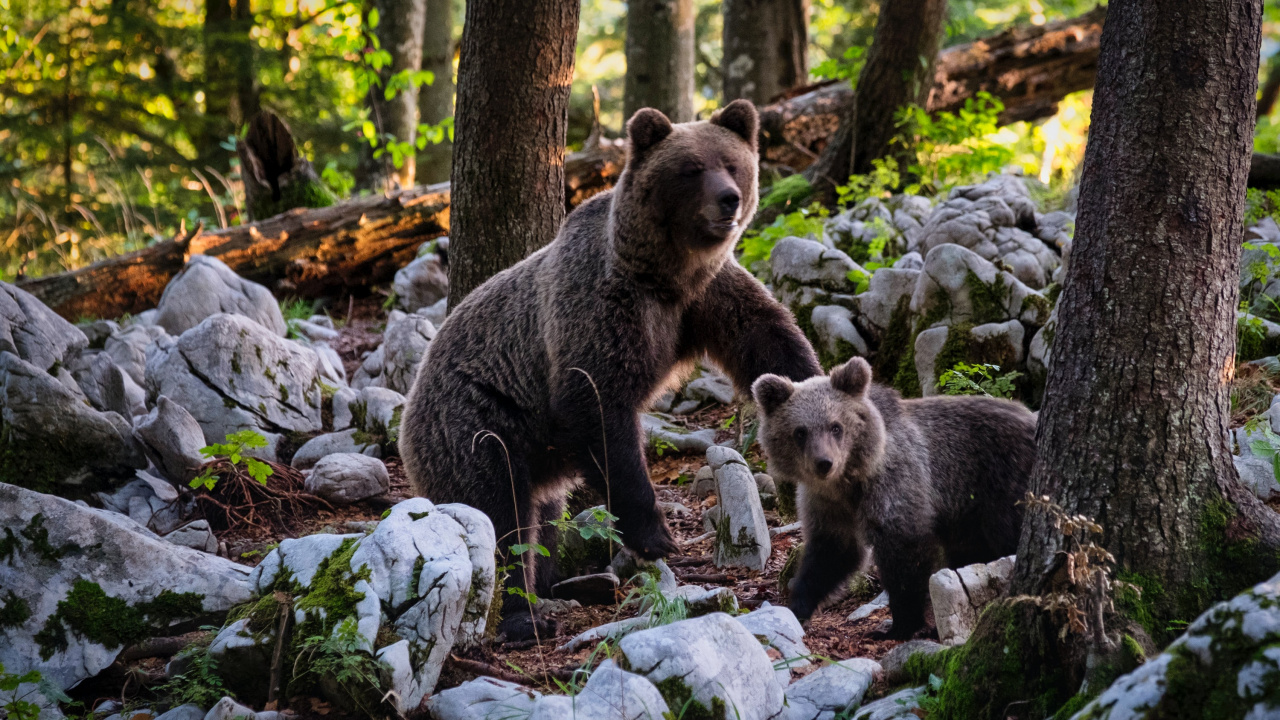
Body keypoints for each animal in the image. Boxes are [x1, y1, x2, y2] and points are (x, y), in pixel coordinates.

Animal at [400, 100, 822, 640]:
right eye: (691, 169)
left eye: (732, 164)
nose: (728, 199)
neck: (665, 275)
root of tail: (412, 401)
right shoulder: (600, 309)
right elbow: (599, 408)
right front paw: (655, 535)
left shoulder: (707, 297)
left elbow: (767, 339)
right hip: (479, 425)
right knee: (500, 516)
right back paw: (523, 614)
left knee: (543, 518)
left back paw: (566, 583)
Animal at [752, 356, 1036, 639]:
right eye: (800, 431)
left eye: (835, 426)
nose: (824, 463)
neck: (849, 482)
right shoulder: (827, 504)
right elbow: (831, 553)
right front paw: (797, 607)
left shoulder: (896, 483)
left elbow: (903, 551)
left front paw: (898, 625)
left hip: (1003, 483)